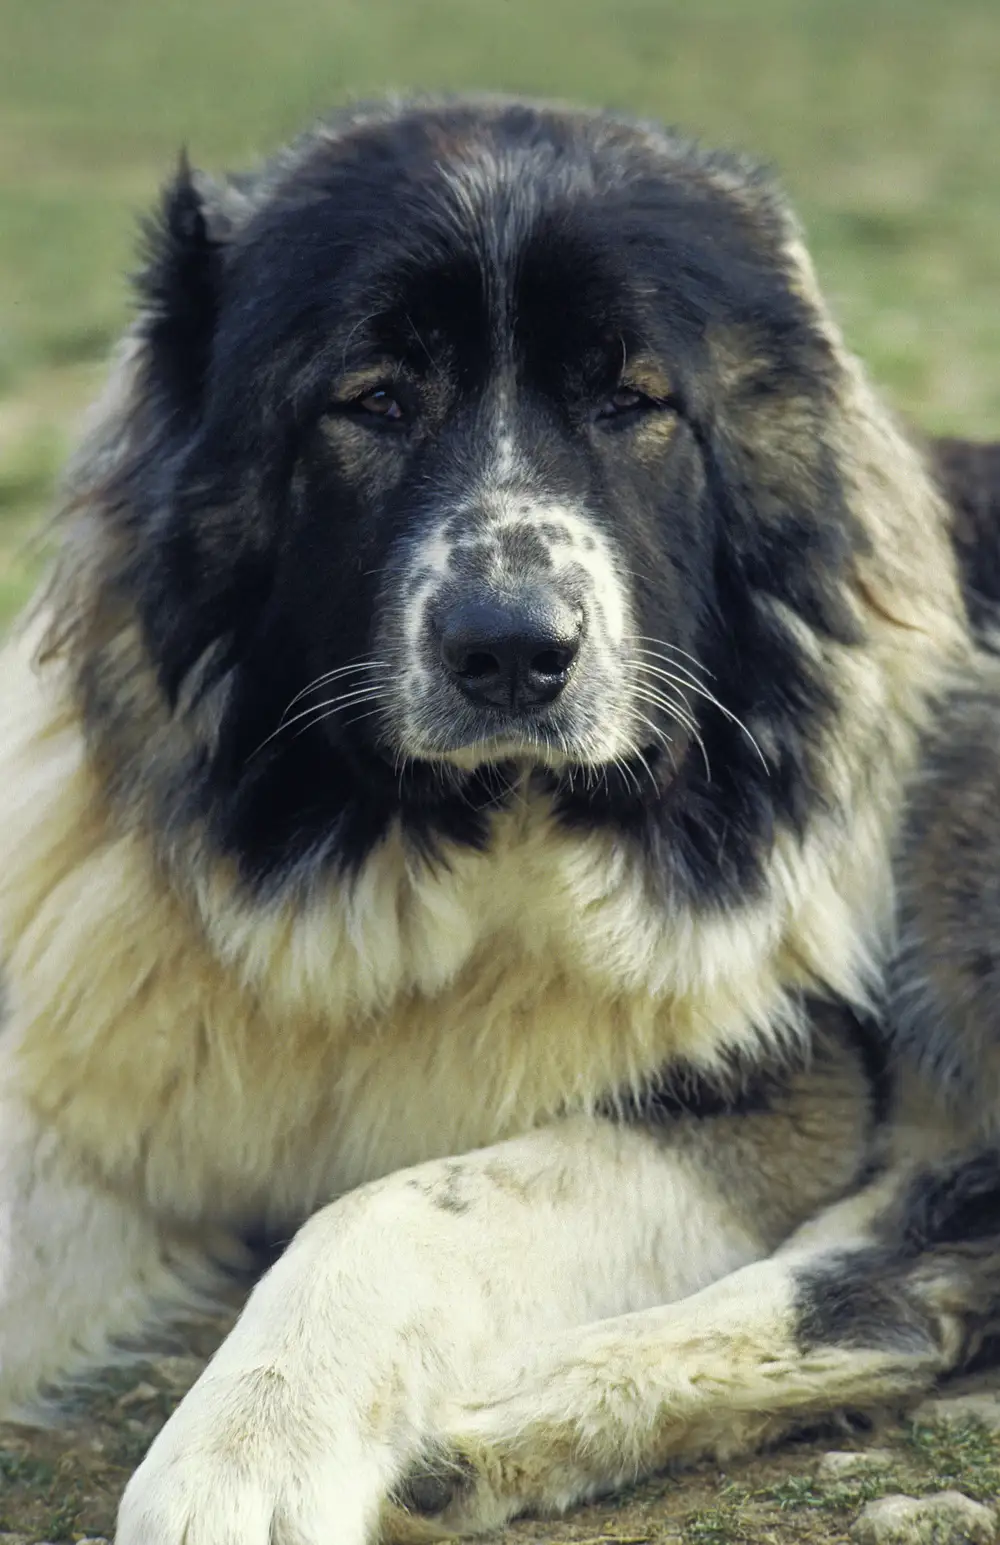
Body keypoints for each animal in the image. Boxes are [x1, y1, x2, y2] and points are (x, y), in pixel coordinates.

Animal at [1, 96, 1000, 1545]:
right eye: (372, 400)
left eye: (632, 401)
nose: (514, 652)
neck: (419, 850)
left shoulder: (771, 1088)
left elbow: (398, 1207)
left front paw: (244, 1457)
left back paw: (528, 1414)